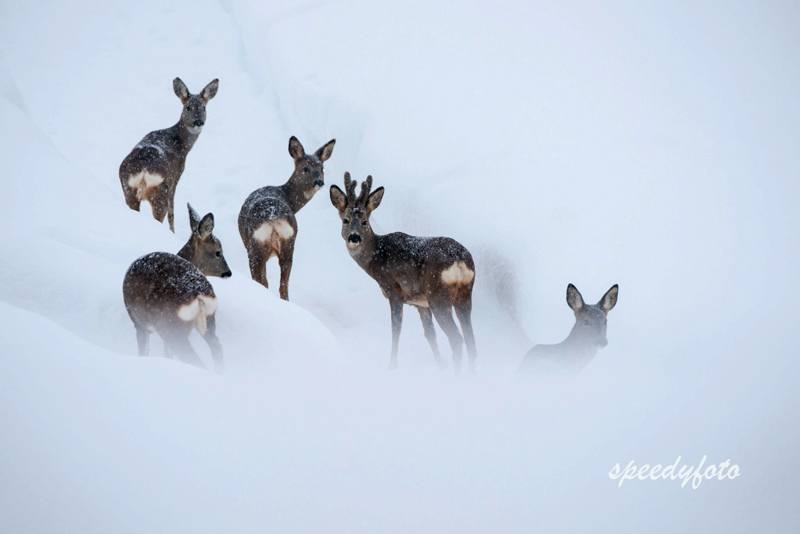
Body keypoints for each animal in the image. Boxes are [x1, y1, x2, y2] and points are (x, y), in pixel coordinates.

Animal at [119, 77, 219, 232]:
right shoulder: (176, 175)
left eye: (204, 107)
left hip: (127, 188)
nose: (198, 122)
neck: (181, 145)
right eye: (188, 107)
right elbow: (173, 212)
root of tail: (144, 170)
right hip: (161, 191)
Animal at [123, 204, 231, 372]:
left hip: (170, 326)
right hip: (209, 319)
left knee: (193, 358)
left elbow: (144, 351)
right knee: (217, 347)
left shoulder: (139, 323)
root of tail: (198, 294)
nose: (228, 272)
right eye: (218, 252)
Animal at [239, 136, 336, 302]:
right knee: (283, 285)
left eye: (322, 168)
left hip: (255, 248)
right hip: (288, 243)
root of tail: (272, 217)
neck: (289, 199)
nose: (319, 182)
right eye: (305, 168)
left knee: (263, 281)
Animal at [330, 174, 478, 370]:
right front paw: (440, 364)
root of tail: (460, 260)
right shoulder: (420, 303)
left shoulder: (395, 292)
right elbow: (429, 334)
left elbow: (396, 331)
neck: (376, 258)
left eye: (365, 221)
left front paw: (392, 365)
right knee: (471, 341)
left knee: (457, 340)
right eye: (345, 220)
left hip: (438, 296)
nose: (354, 237)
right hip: (464, 295)